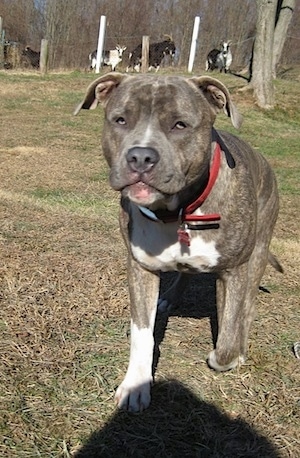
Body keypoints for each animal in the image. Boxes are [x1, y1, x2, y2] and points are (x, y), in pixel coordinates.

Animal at [75, 73, 282, 414]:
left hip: (259, 251)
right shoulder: (140, 269)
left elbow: (227, 339)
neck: (178, 211)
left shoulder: (236, 270)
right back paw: (170, 298)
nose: (140, 156)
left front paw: (228, 351)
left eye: (180, 125)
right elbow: (142, 334)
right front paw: (136, 384)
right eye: (120, 120)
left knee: (247, 304)